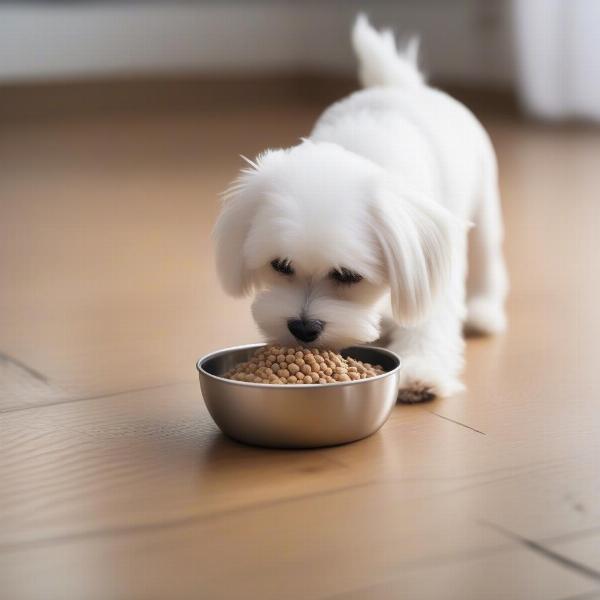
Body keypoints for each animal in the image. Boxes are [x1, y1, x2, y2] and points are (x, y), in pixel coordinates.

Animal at [213, 14, 508, 400]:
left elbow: (427, 317)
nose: (303, 328)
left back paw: (483, 312)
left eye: (348, 275)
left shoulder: (425, 260)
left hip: (484, 200)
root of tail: (398, 84)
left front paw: (420, 370)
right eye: (281, 265)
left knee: (487, 257)